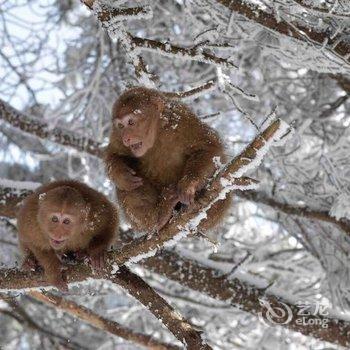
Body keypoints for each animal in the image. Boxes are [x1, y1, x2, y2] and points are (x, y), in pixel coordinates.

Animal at [104, 87, 230, 235]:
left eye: (131, 122)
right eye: (120, 126)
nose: (126, 138)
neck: (157, 133)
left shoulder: (182, 120)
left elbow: (208, 147)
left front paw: (189, 184)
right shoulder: (117, 135)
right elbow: (114, 154)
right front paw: (121, 174)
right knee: (128, 185)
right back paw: (157, 218)